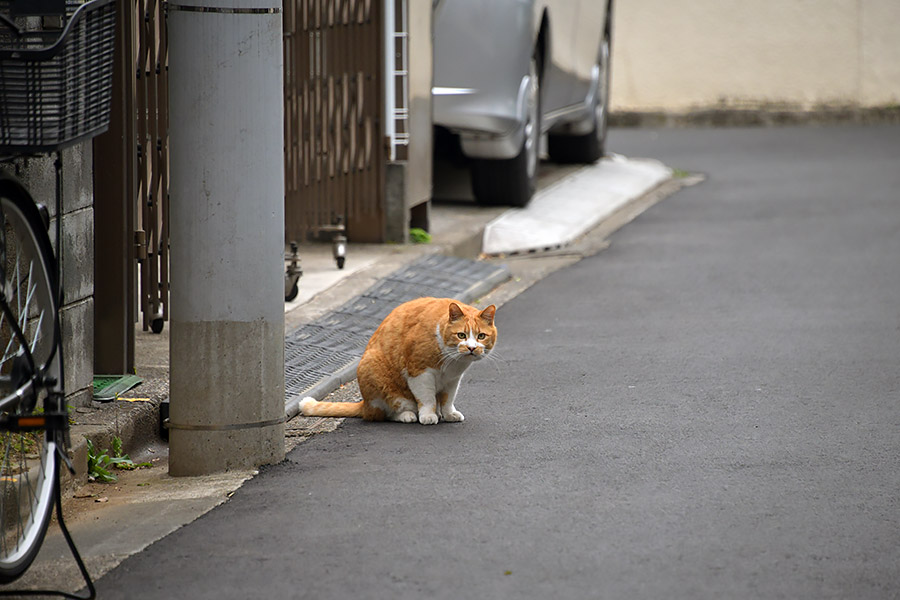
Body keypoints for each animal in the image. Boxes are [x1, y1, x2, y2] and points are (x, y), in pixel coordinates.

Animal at [302, 298, 500, 424]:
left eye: (481, 336)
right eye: (461, 335)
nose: (472, 348)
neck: (452, 361)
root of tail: (365, 405)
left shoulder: (452, 379)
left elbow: (447, 399)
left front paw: (449, 414)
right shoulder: (419, 372)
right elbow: (427, 398)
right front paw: (428, 416)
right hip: (375, 371)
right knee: (383, 414)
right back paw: (407, 416)